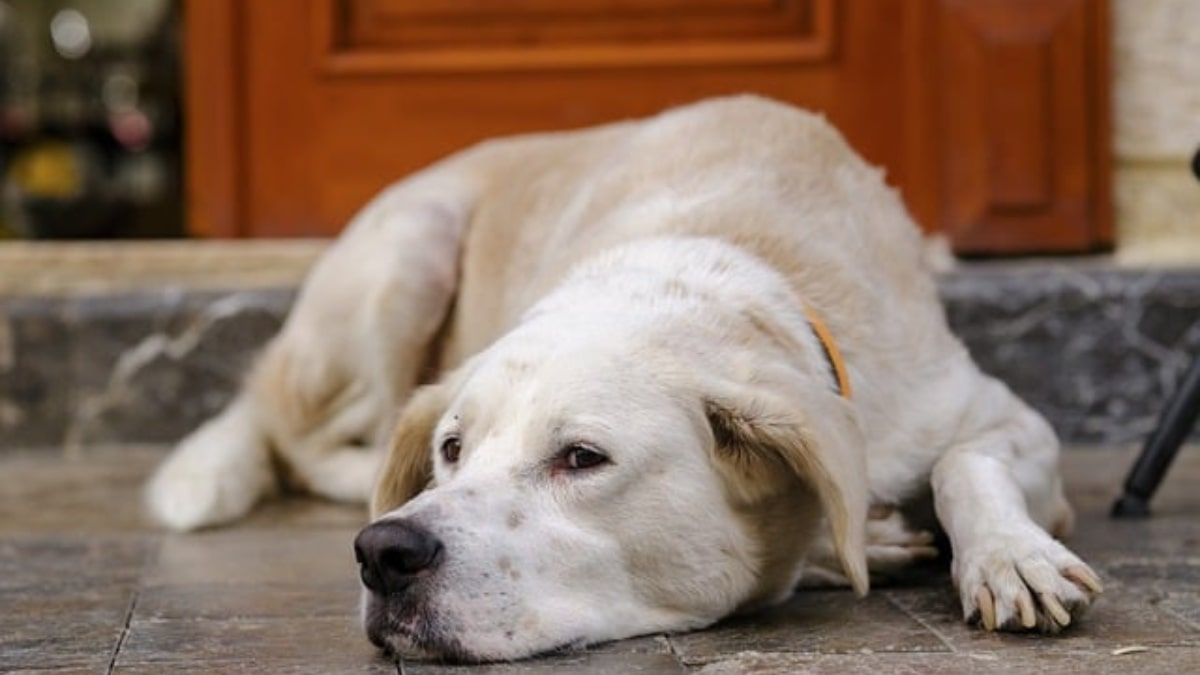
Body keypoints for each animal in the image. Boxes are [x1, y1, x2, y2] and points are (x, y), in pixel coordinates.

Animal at [145, 96, 1099, 662]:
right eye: (452, 449)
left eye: (582, 457)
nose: (384, 553)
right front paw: (860, 543)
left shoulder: (990, 413)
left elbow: (965, 463)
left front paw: (1010, 556)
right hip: (409, 247)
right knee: (312, 443)